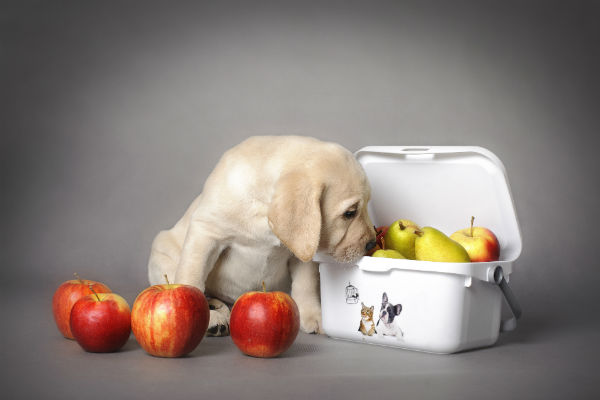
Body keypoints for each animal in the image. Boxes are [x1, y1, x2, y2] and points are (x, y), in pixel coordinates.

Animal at [149, 136, 376, 336]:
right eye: (349, 213)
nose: (372, 244)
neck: (263, 210)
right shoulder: (206, 234)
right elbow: (193, 277)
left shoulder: (304, 248)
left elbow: (305, 285)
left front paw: (313, 316)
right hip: (162, 256)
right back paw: (216, 318)